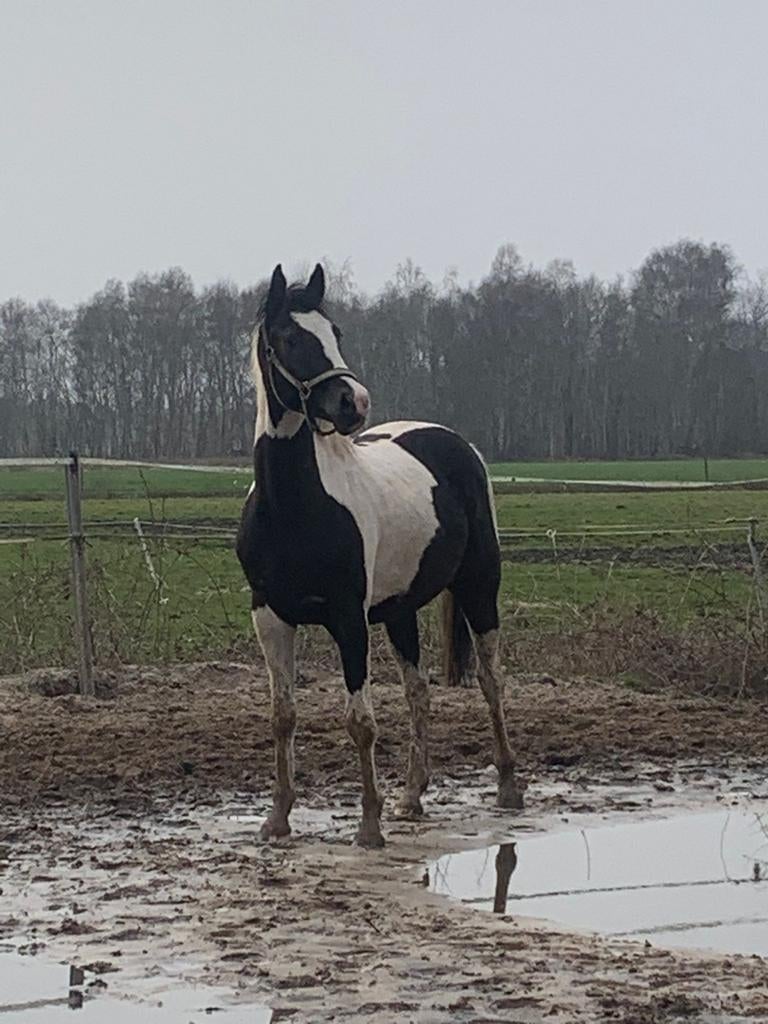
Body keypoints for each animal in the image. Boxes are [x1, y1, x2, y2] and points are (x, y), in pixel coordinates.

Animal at [236, 263, 523, 848]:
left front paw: (368, 823)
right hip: (399, 611)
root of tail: (454, 442)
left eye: (335, 332)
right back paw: (412, 797)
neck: (294, 508)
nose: (354, 403)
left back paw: (507, 786)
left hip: (480, 587)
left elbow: (360, 722)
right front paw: (277, 819)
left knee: (491, 679)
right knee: (419, 693)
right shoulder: (269, 616)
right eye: (290, 338)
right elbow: (283, 715)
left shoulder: (349, 618)